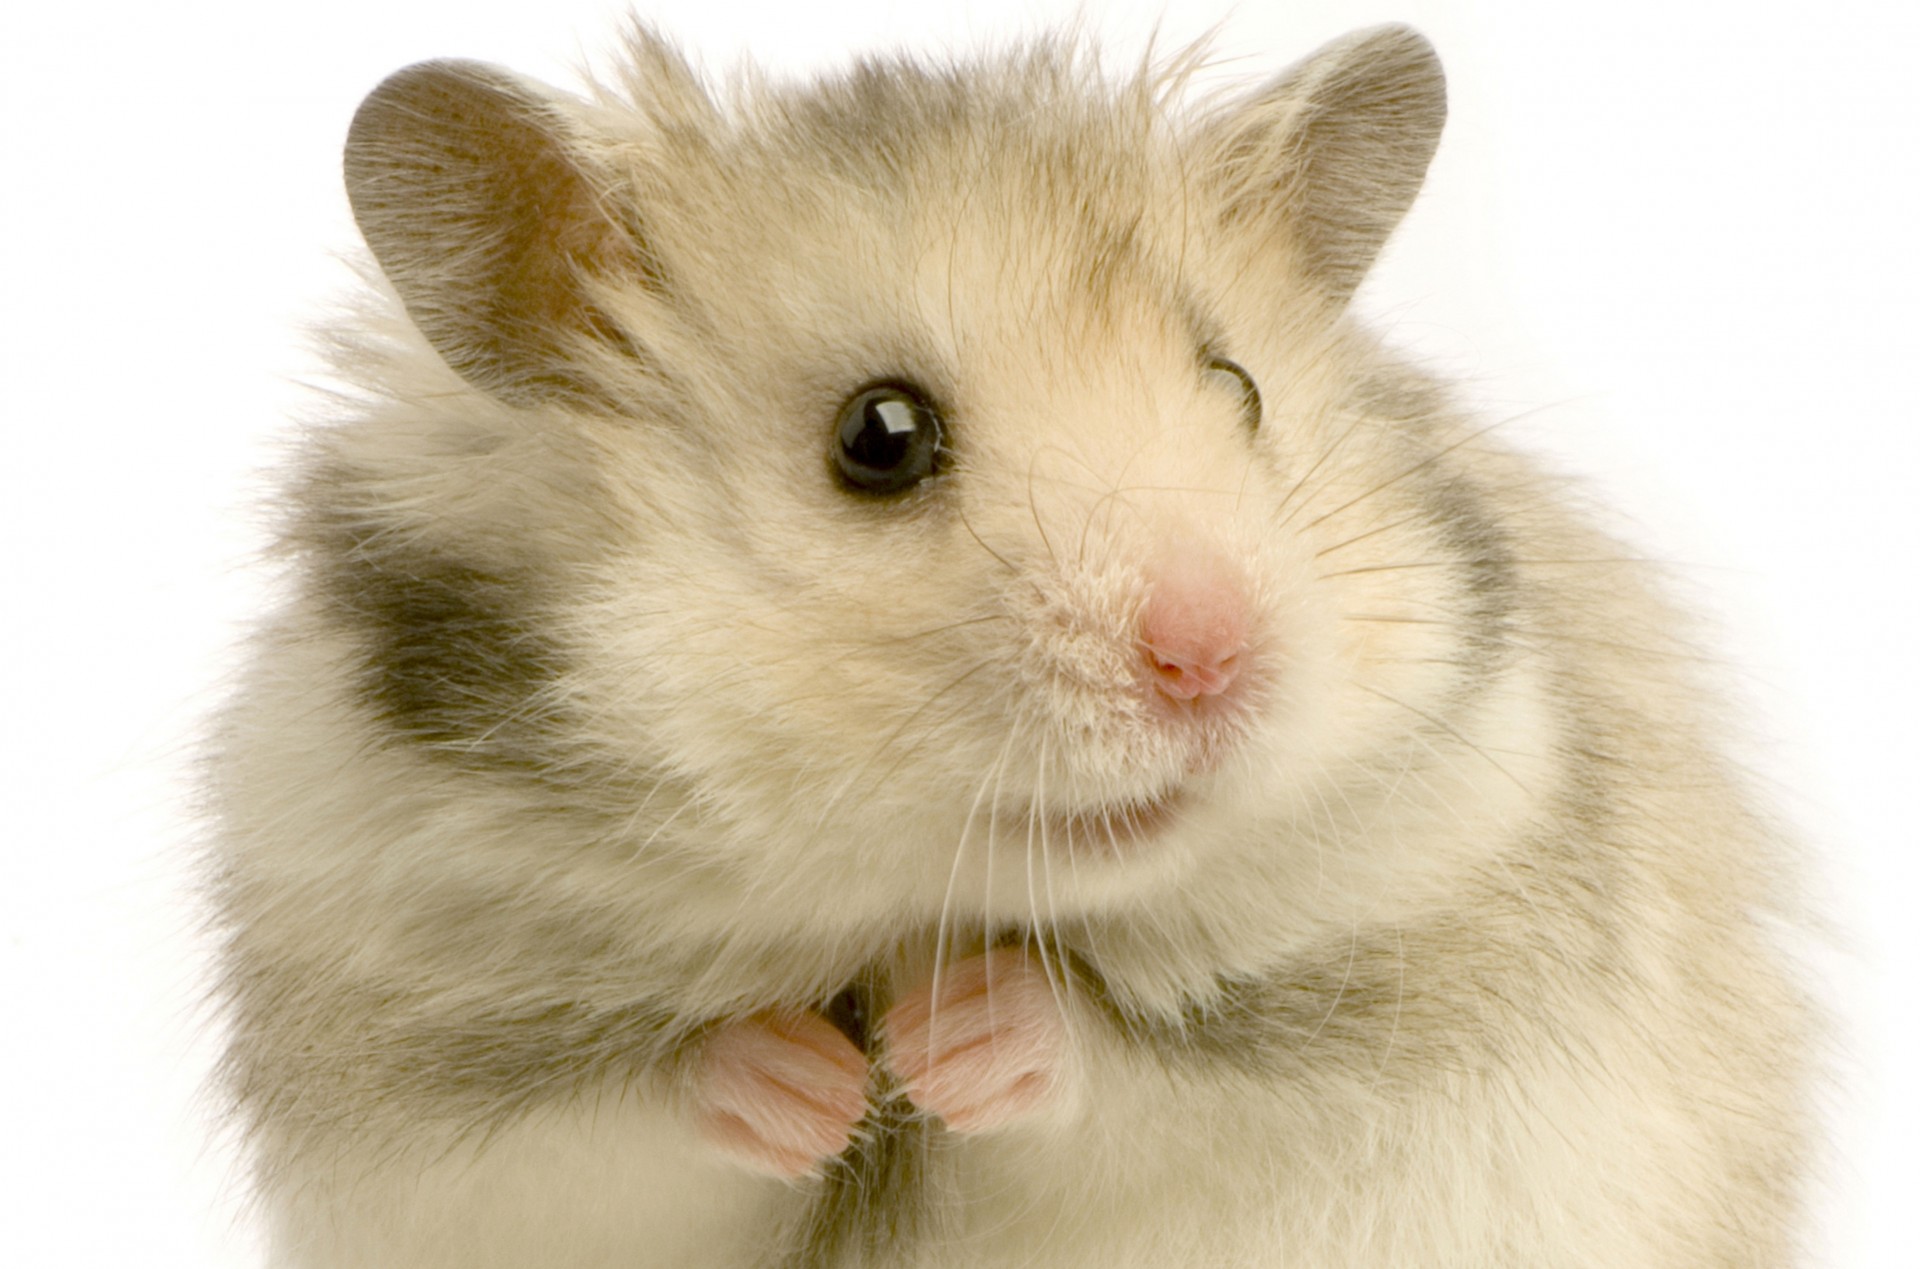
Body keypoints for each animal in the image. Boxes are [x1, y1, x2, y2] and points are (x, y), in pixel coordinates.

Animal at [206, 21, 1811, 1268]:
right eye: (881, 437)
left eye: (1237, 387)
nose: (1215, 660)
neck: (919, 903)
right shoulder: (423, 1101)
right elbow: (638, 1111)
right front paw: (821, 1080)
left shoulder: (1396, 1036)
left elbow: (1125, 1073)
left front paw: (948, 1037)